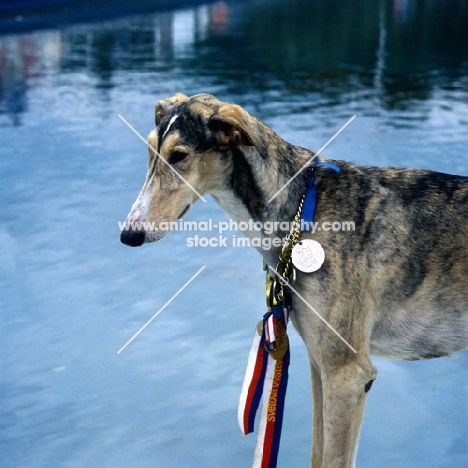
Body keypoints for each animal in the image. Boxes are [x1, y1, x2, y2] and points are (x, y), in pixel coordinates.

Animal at [119, 93, 468, 466]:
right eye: (151, 150)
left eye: (179, 156)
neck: (302, 213)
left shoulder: (347, 375)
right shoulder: (320, 364)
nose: (128, 235)